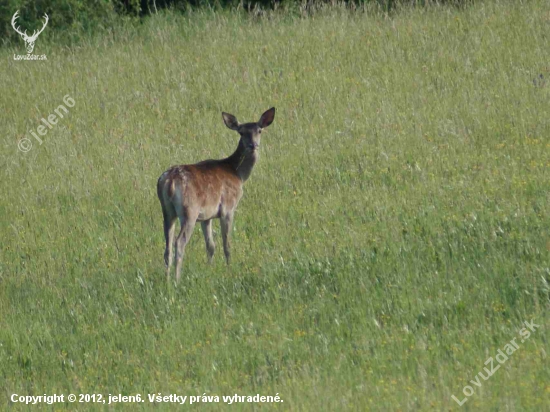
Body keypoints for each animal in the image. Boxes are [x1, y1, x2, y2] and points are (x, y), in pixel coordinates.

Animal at [156, 106, 276, 282]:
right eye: (241, 132)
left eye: (259, 130)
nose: (253, 145)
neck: (238, 174)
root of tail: (169, 181)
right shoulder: (228, 207)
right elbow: (227, 244)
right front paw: (229, 268)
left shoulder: (207, 216)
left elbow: (211, 246)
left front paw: (209, 269)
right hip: (189, 210)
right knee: (179, 243)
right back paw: (177, 280)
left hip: (167, 211)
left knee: (167, 246)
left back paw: (167, 279)